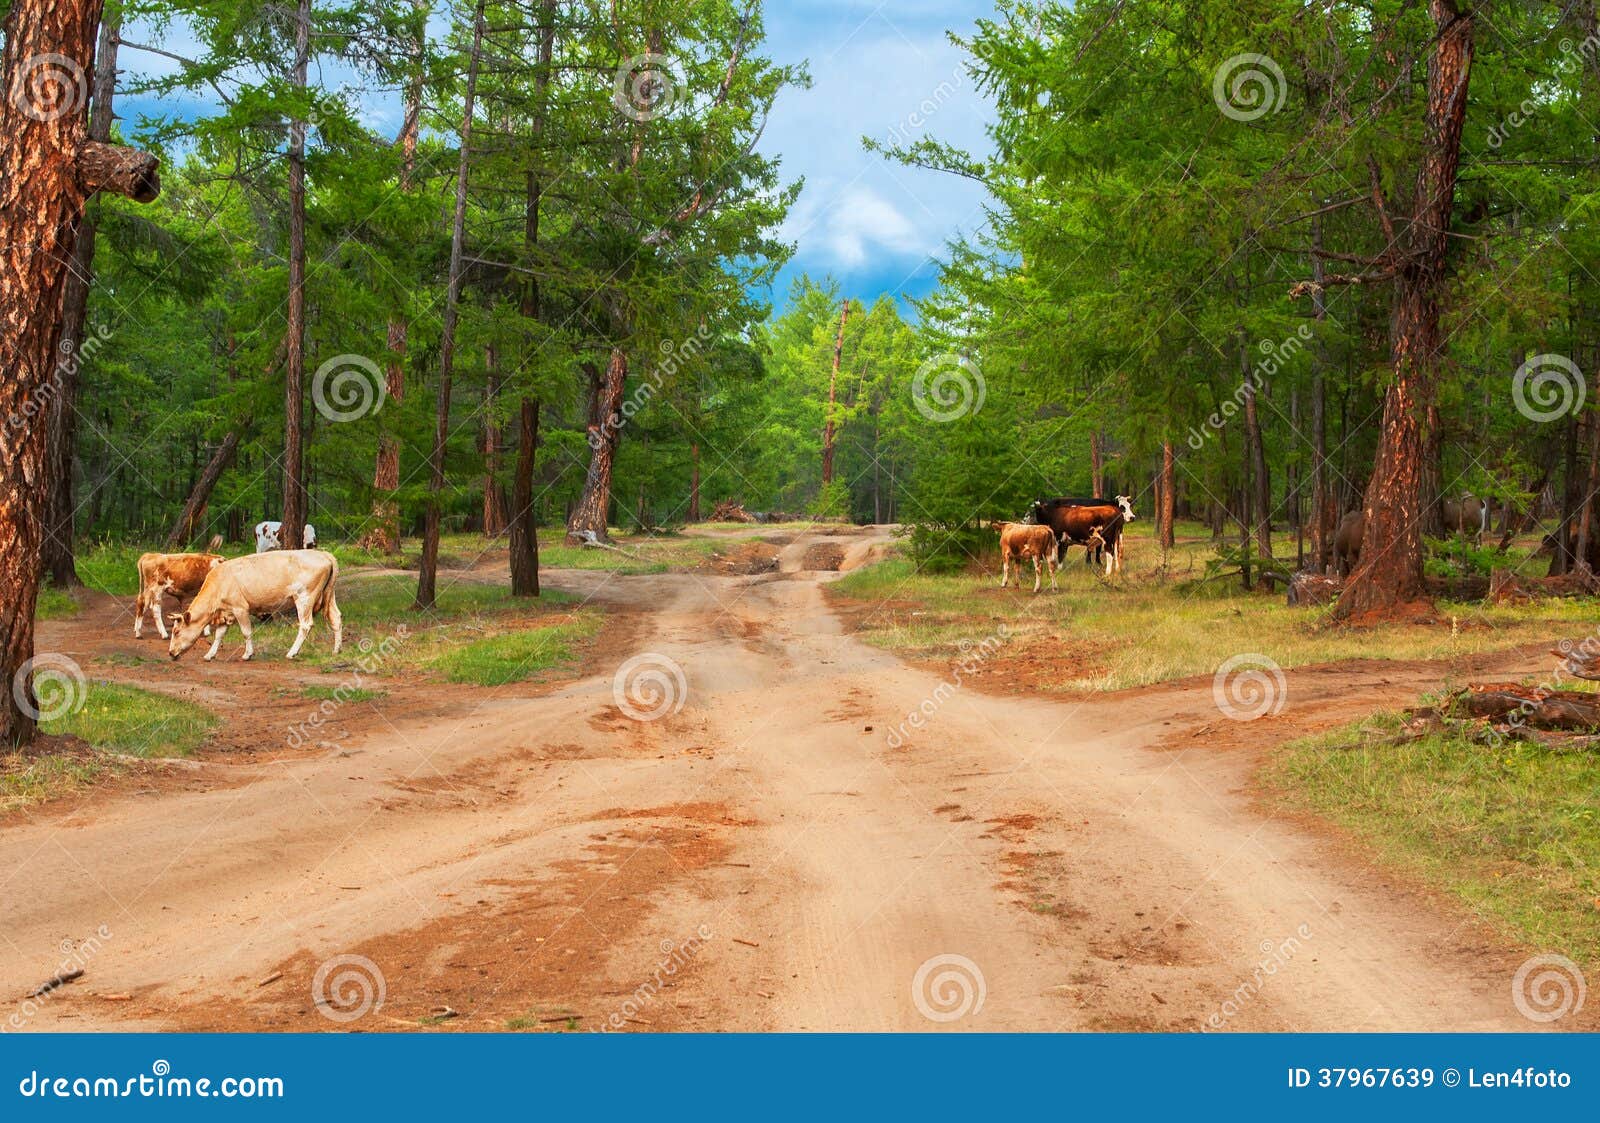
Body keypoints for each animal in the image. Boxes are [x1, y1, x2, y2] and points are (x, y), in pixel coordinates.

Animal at [168, 550, 343, 662]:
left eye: (176, 631)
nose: (170, 652)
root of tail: (323, 554)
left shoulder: (240, 608)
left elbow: (246, 632)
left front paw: (248, 654)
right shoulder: (226, 613)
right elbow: (219, 635)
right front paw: (210, 655)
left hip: (304, 597)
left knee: (306, 624)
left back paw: (292, 653)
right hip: (329, 596)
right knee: (336, 619)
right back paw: (336, 650)